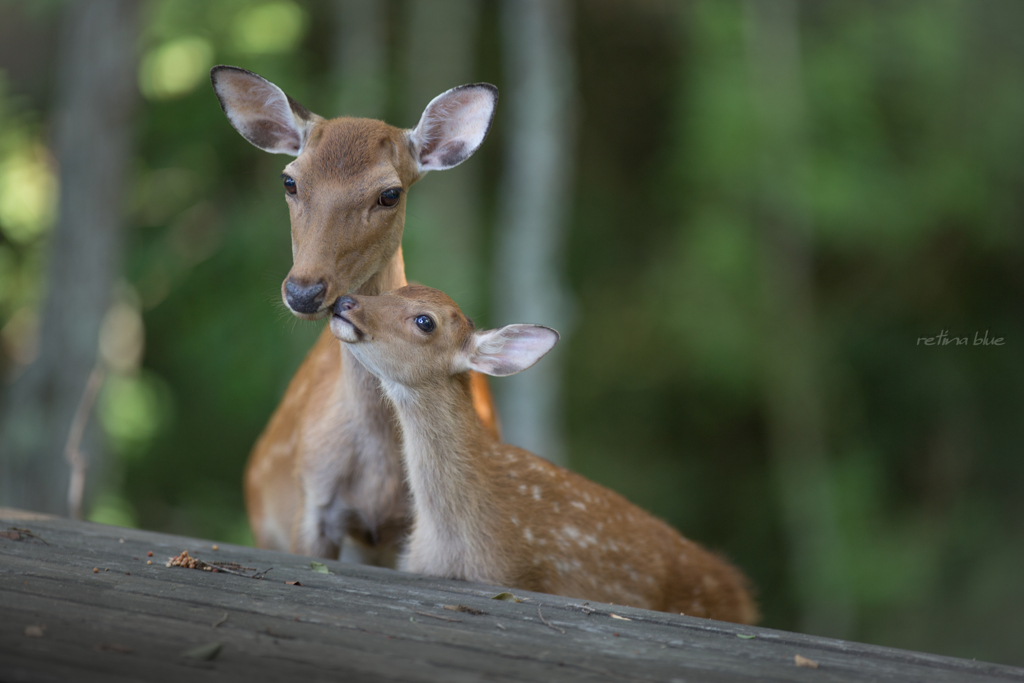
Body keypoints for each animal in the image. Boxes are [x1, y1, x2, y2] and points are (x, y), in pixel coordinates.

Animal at [331, 286, 757, 622]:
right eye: (392, 290)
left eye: (425, 321)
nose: (344, 301)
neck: (452, 537)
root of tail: (743, 596)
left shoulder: (509, 573)